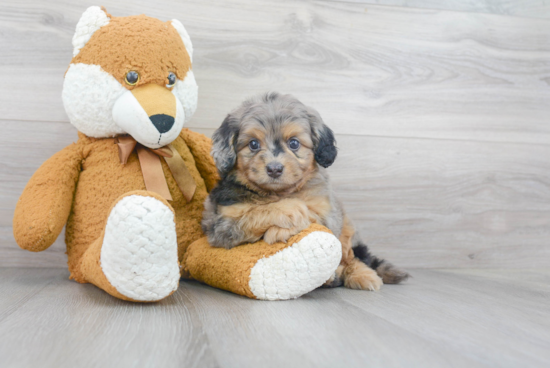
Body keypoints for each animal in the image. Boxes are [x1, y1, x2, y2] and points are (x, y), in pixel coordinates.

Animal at [203, 92, 410, 290]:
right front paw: (288, 210)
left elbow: (312, 215)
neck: (278, 193)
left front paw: (279, 230)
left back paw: (361, 275)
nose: (274, 169)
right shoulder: (220, 225)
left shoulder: (328, 214)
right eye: (253, 144)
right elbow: (256, 213)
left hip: (348, 230)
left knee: (352, 256)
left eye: (294, 143)